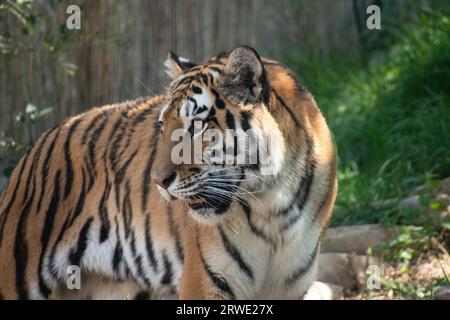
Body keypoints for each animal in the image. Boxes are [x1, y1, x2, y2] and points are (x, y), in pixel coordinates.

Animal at [0, 45, 336, 300]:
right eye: (163, 125)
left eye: (197, 125)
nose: (158, 181)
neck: (272, 205)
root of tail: (36, 144)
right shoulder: (205, 283)